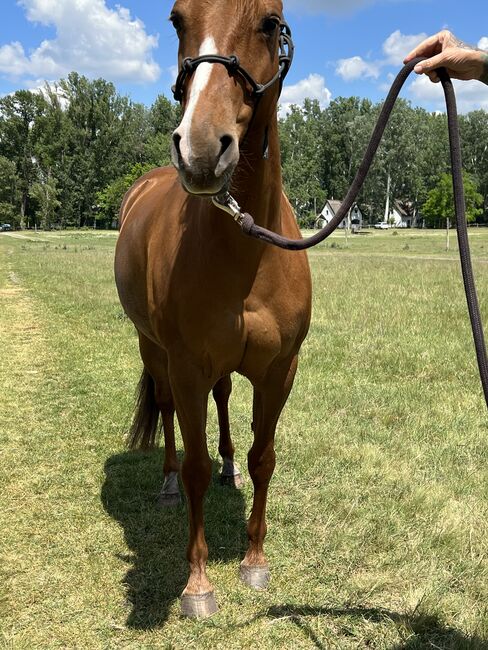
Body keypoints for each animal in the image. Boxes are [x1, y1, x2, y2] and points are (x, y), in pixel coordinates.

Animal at [114, 0, 310, 616]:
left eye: (269, 22)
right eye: (178, 19)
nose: (199, 150)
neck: (245, 248)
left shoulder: (279, 371)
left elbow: (263, 457)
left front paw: (254, 560)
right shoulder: (187, 367)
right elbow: (195, 463)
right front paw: (198, 584)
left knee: (224, 403)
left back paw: (228, 468)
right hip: (152, 349)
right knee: (166, 411)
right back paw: (168, 483)